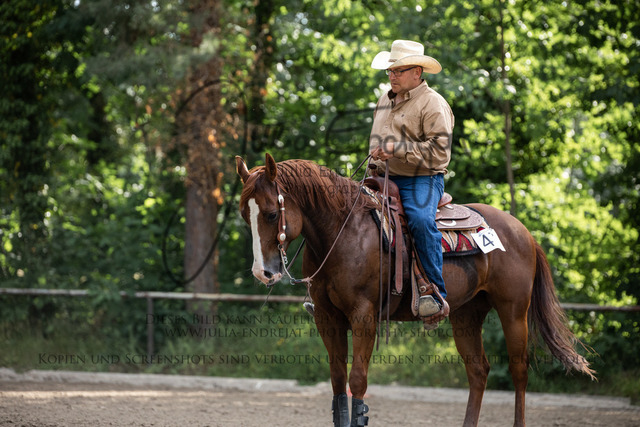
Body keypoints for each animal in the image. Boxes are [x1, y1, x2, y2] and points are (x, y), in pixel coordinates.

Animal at [235, 153, 595, 427]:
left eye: (271, 213)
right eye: (244, 214)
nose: (262, 272)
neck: (342, 232)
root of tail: (523, 232)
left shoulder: (364, 316)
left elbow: (357, 381)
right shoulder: (327, 317)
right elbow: (338, 382)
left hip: (514, 310)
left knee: (519, 371)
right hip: (466, 314)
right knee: (478, 371)